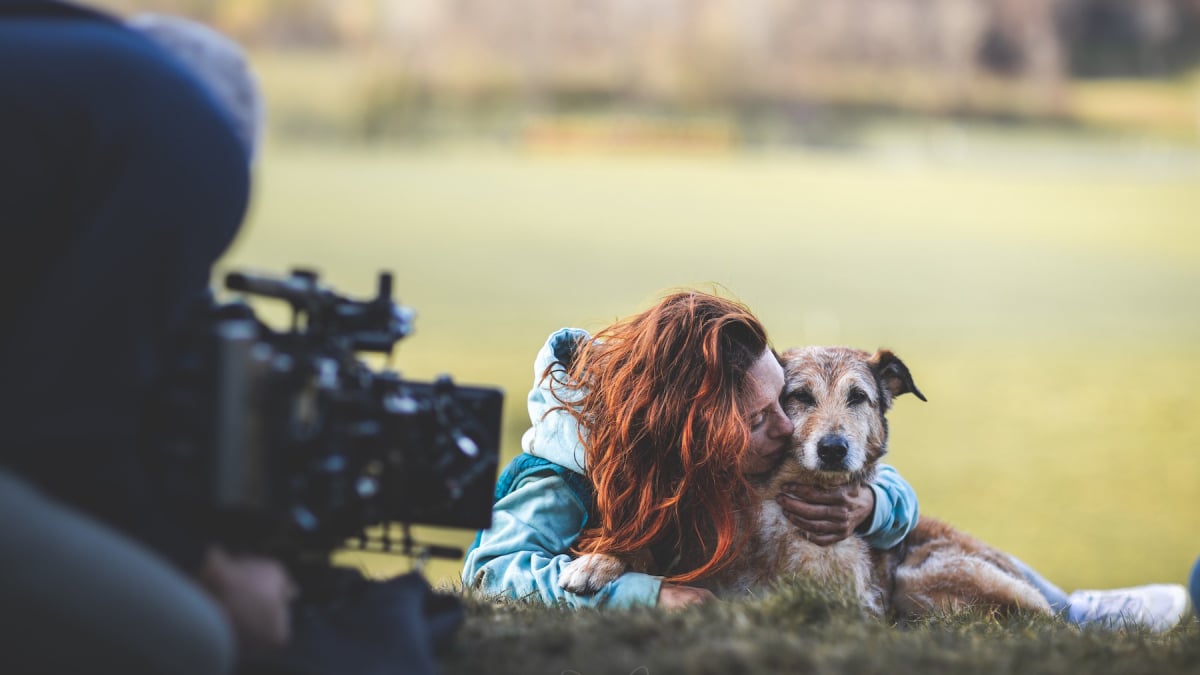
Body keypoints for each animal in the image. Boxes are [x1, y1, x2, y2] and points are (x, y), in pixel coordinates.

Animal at [559, 343, 1051, 619]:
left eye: (858, 397)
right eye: (799, 396)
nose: (833, 448)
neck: (782, 501)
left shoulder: (851, 602)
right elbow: (643, 550)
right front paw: (597, 563)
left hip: (924, 578)